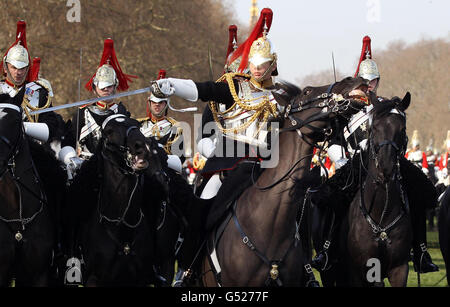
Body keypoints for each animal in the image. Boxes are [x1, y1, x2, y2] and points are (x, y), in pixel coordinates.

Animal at [64, 112, 167, 286]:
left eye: (137, 125)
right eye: (109, 131)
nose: (143, 147)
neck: (122, 226)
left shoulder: (139, 280)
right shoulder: (94, 279)